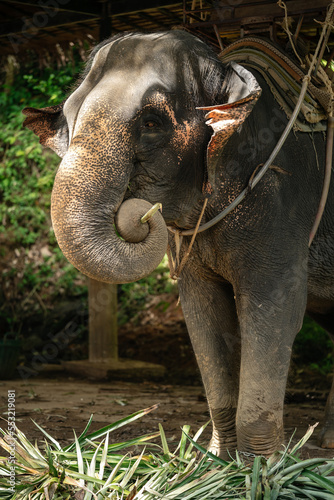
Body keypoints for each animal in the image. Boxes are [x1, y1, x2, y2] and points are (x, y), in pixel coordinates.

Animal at [22, 29, 334, 456]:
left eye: (152, 122)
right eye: (68, 119)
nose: (141, 214)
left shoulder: (277, 200)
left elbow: (276, 308)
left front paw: (259, 468)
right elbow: (202, 311)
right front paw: (218, 461)